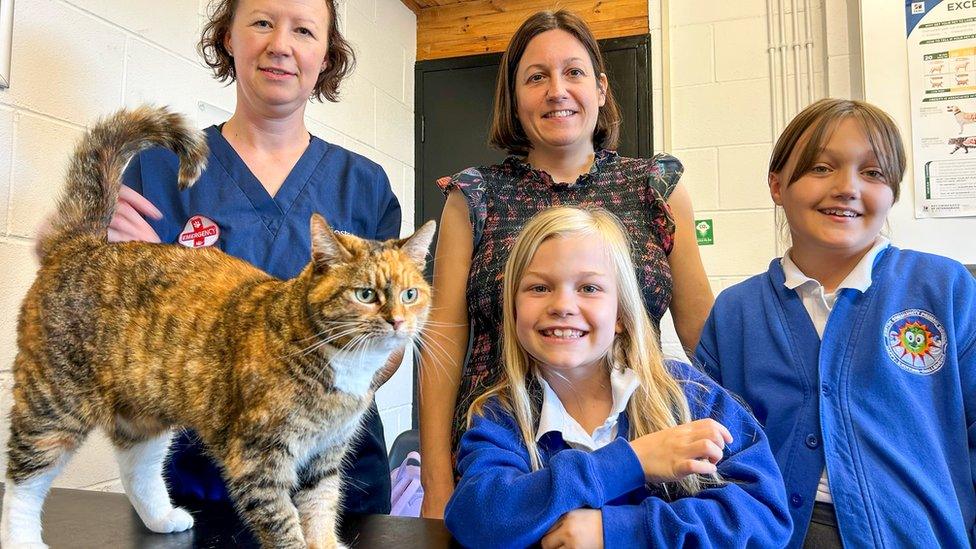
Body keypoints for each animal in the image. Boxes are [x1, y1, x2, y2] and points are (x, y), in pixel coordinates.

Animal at [0, 107, 434, 548]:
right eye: (365, 294)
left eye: (410, 294)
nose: (398, 321)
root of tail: (80, 243)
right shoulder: (257, 459)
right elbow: (284, 525)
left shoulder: (325, 457)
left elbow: (320, 512)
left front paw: (326, 541)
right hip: (53, 402)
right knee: (24, 478)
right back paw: (21, 537)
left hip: (145, 408)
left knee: (136, 466)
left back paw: (162, 518)